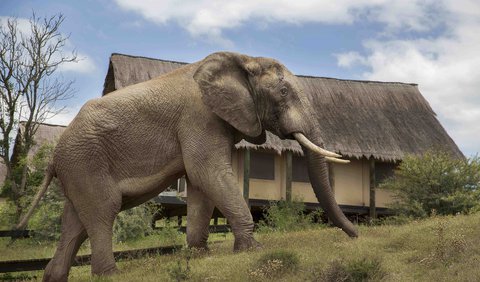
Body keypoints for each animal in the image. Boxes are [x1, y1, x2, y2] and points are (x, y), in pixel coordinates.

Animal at [15, 51, 356, 280]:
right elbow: (208, 173)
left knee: (75, 223)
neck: (244, 59)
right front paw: (253, 250)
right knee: (102, 210)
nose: (355, 237)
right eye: (283, 92)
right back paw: (111, 274)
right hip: (85, 160)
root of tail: (54, 154)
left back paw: (55, 278)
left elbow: (201, 184)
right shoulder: (200, 117)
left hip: (78, 167)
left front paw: (199, 254)